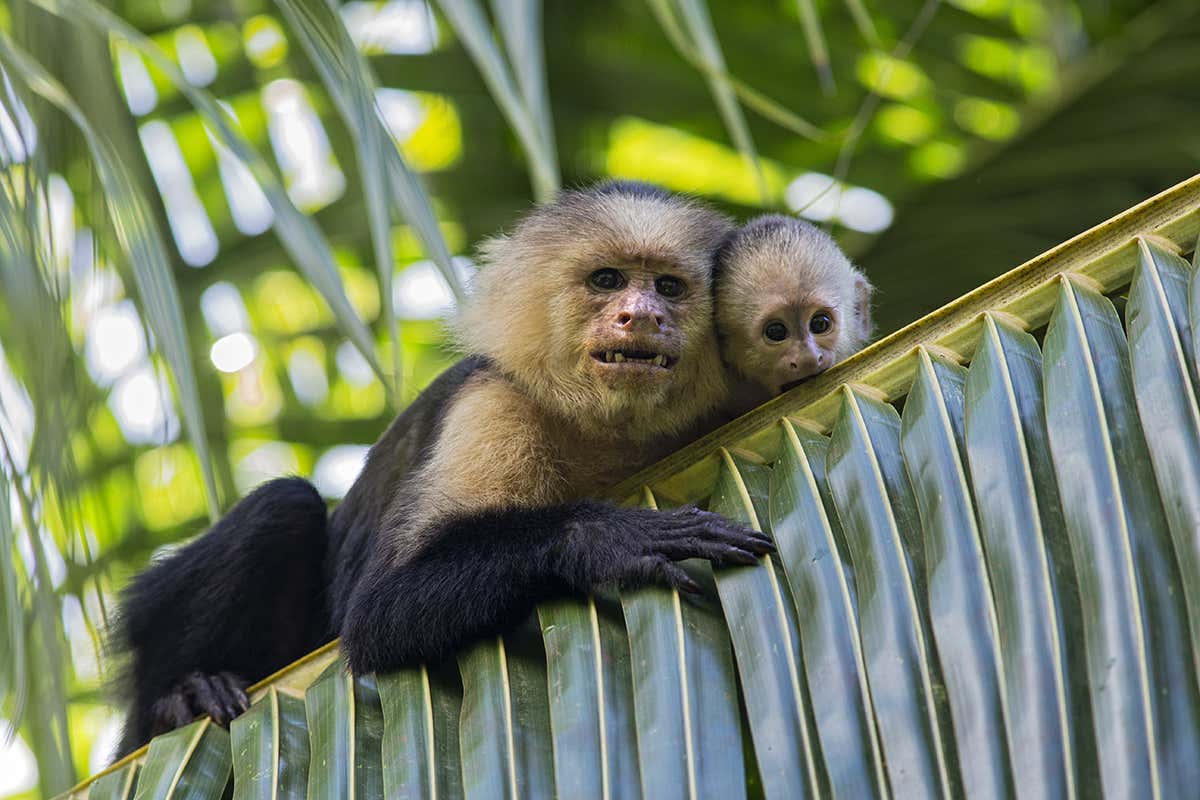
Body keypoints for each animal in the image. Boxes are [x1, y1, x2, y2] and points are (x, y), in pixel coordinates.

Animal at [112, 181, 774, 756]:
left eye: (669, 287)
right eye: (607, 280)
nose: (641, 316)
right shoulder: (493, 405)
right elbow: (378, 616)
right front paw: (609, 536)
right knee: (284, 508)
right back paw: (179, 699)